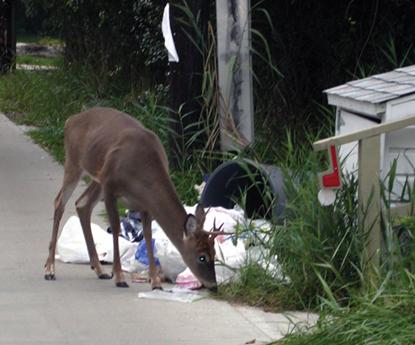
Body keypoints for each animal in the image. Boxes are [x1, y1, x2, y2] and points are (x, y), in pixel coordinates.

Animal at [44, 106, 226, 288]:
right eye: (202, 257)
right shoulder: (110, 187)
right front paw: (119, 277)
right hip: (74, 163)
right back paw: (50, 270)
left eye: (214, 252)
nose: (213, 285)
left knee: (82, 204)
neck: (141, 172)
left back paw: (100, 270)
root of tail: (71, 119)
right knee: (59, 202)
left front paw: (155, 282)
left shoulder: (145, 203)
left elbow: (148, 234)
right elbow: (116, 228)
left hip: (97, 178)